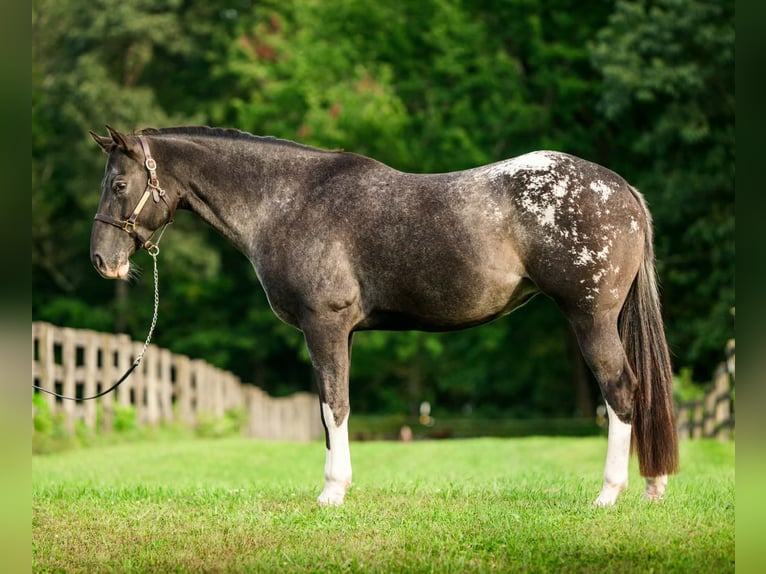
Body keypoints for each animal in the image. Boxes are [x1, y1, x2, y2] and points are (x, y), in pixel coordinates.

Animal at [88, 125, 678, 507]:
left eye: (118, 185)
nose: (101, 260)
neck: (288, 201)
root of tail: (620, 189)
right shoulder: (338, 334)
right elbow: (331, 410)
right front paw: (337, 486)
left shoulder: (324, 326)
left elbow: (335, 407)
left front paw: (331, 494)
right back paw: (652, 487)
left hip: (591, 319)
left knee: (621, 392)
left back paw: (609, 494)